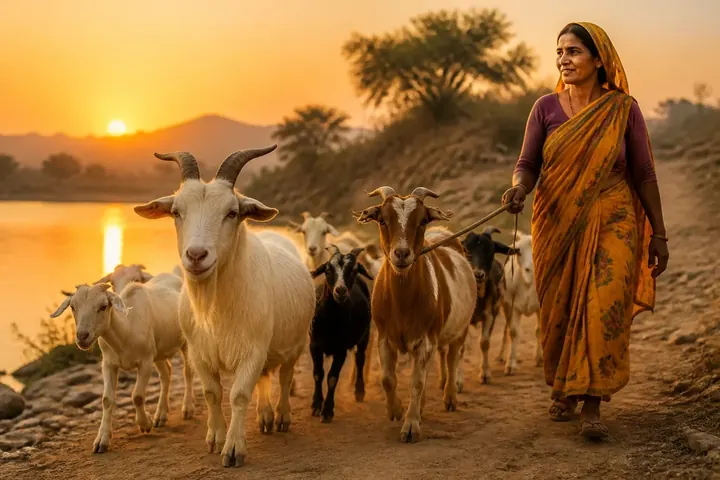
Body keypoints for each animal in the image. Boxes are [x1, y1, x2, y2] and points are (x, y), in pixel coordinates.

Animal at [50, 282, 195, 453]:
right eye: (73, 307)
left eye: (103, 306)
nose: (82, 336)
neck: (126, 330)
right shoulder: (108, 364)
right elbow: (107, 400)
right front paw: (101, 441)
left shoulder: (145, 361)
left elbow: (137, 396)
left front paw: (145, 424)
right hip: (158, 350)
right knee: (166, 374)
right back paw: (161, 415)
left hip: (185, 341)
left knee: (187, 372)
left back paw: (187, 409)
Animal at [134, 146, 316, 468]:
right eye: (176, 212)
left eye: (232, 212)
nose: (196, 255)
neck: (215, 310)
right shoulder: (198, 353)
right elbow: (212, 393)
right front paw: (215, 438)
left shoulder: (253, 350)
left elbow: (239, 395)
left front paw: (233, 449)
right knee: (266, 378)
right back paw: (265, 416)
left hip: (295, 344)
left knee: (285, 377)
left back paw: (281, 416)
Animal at [308, 245, 373, 422]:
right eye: (328, 270)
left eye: (354, 271)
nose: (341, 291)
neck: (331, 320)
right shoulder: (314, 346)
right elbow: (318, 374)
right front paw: (316, 405)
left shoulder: (341, 350)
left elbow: (332, 378)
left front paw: (327, 411)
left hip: (365, 334)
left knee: (360, 358)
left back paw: (359, 391)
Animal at [354, 185, 476, 443]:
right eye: (382, 220)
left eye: (422, 221)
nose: (401, 254)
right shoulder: (384, 337)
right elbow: (388, 379)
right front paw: (396, 410)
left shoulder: (426, 339)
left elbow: (417, 382)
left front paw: (411, 426)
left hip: (460, 328)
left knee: (452, 359)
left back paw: (450, 398)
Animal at [498, 230, 542, 373]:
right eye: (519, 252)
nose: (530, 269)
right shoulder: (510, 306)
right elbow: (513, 332)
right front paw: (510, 364)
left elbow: (539, 330)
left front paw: (540, 358)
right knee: (506, 329)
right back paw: (501, 355)